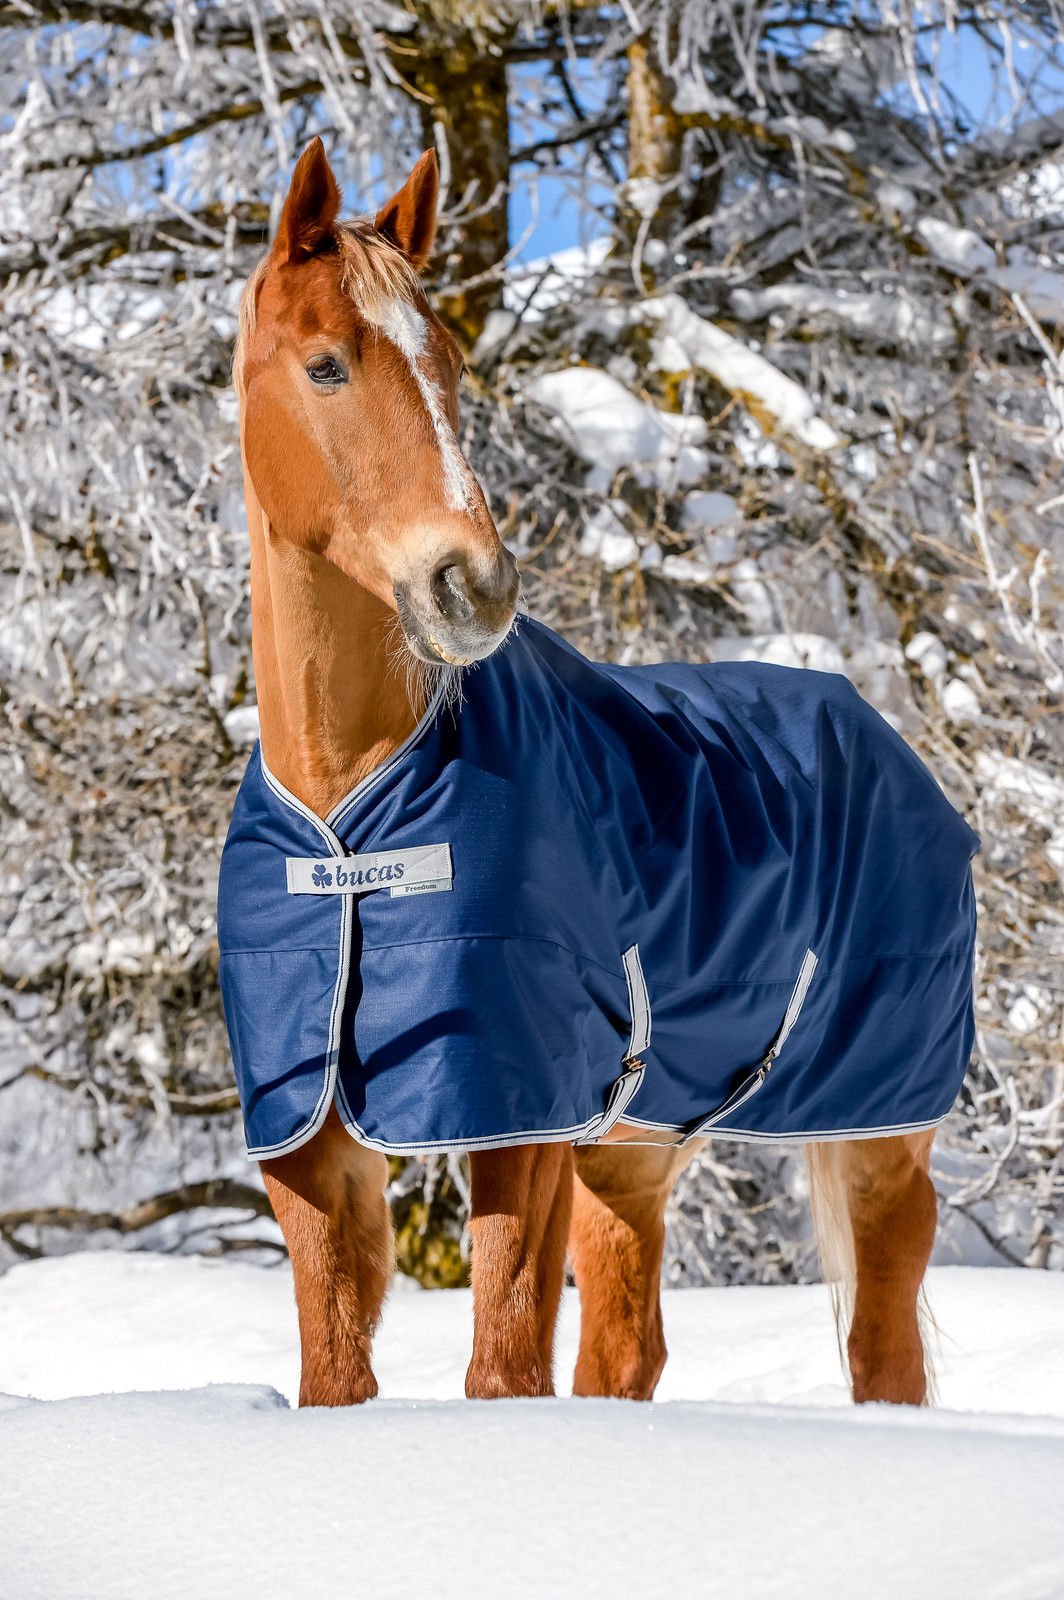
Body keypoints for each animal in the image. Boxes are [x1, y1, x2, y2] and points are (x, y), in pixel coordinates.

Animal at [226, 136, 973, 1408]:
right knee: (629, 1353)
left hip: (880, 1142)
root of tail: (884, 742)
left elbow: (501, 1369)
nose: (471, 584)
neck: (351, 827)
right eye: (325, 365)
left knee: (881, 1358)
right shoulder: (309, 1137)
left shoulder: (519, 1123)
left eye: (451, 364)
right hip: (632, 1159)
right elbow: (337, 1373)